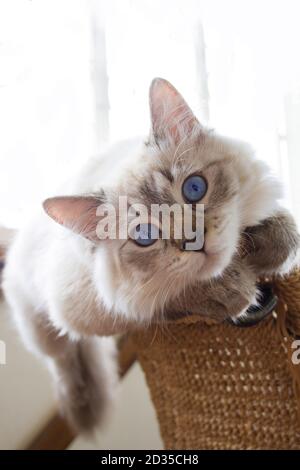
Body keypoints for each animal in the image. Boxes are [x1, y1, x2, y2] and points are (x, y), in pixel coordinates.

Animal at [2, 78, 300, 434]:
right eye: (145, 236)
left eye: (194, 189)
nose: (193, 240)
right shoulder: (104, 311)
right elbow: (168, 300)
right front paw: (236, 292)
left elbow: (286, 235)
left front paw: (263, 250)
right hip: (43, 326)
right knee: (65, 361)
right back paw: (83, 410)